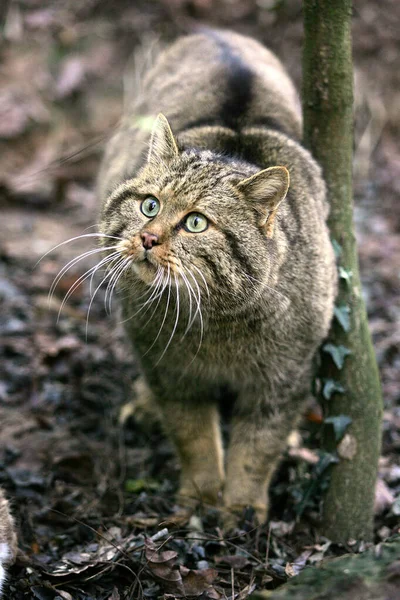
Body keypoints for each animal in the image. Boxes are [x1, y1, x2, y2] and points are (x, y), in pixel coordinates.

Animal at [97, 30, 338, 524]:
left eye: (195, 223)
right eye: (149, 205)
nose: (148, 237)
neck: (214, 320)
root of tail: (218, 31)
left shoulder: (285, 378)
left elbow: (257, 448)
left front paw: (242, 509)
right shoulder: (169, 369)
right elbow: (193, 437)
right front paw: (202, 496)